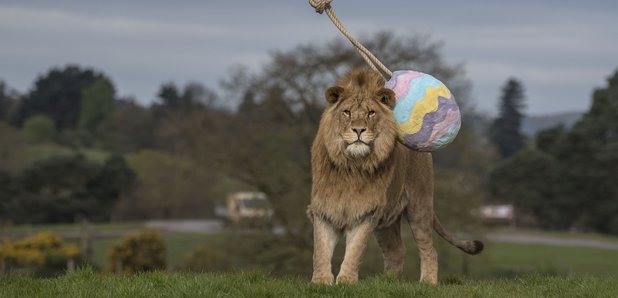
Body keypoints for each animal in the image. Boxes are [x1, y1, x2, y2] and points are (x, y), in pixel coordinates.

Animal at [306, 67, 482, 284]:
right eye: (346, 112)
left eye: (371, 113)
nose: (358, 130)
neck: (352, 166)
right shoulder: (324, 209)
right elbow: (321, 250)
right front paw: (321, 281)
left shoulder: (367, 213)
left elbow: (355, 250)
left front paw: (346, 281)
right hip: (387, 219)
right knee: (396, 251)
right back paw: (387, 282)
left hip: (419, 205)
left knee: (429, 249)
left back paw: (427, 283)